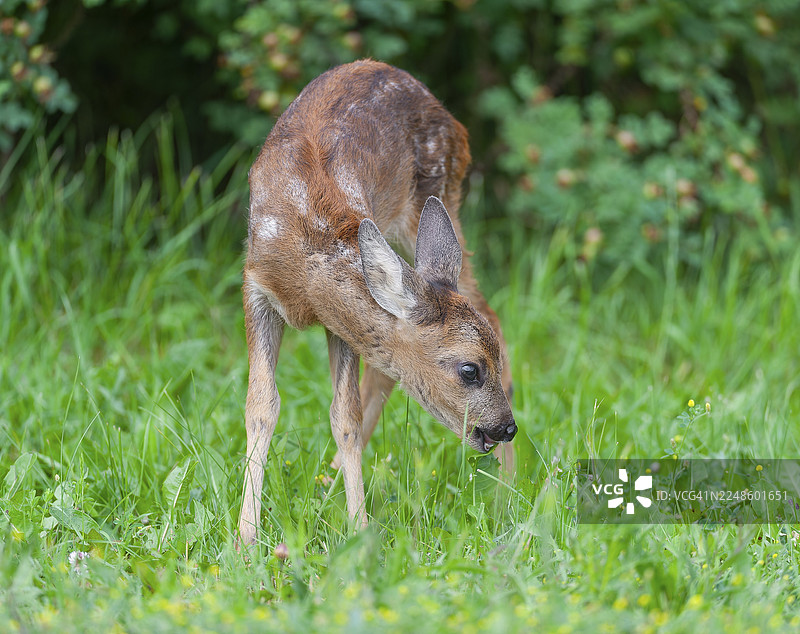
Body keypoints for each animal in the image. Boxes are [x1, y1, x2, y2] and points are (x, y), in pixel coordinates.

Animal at [239, 59, 516, 546]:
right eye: (470, 370)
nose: (506, 427)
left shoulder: (338, 324)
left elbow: (344, 418)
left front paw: (358, 530)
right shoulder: (256, 287)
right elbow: (261, 407)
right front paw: (245, 541)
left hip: (434, 203)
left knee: (491, 314)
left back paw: (511, 496)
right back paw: (325, 485)